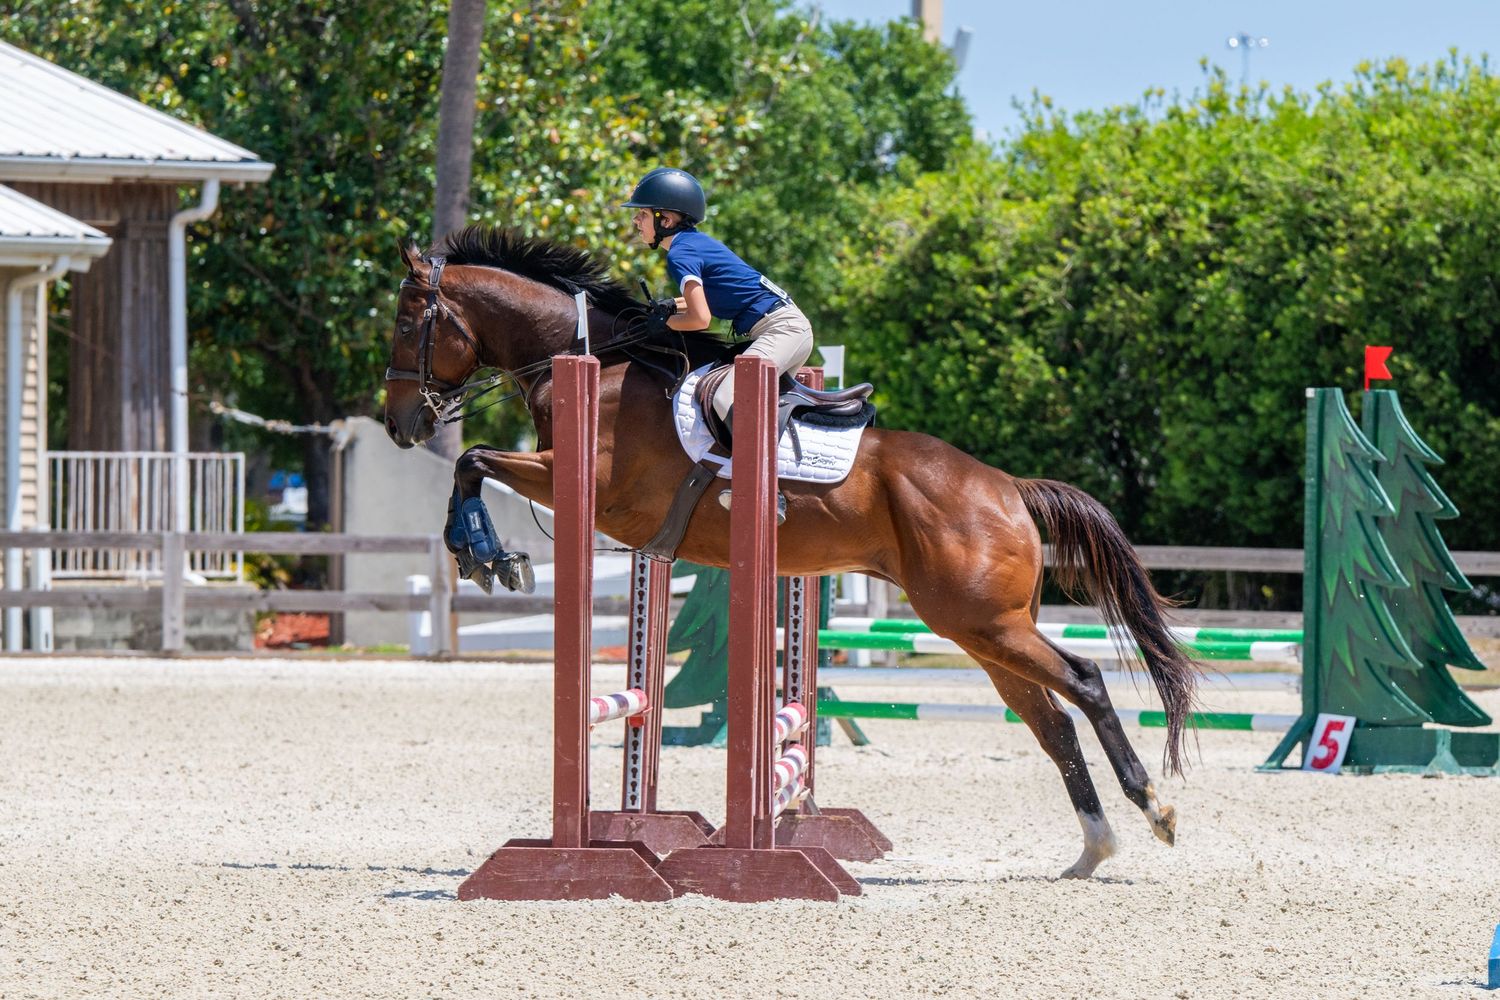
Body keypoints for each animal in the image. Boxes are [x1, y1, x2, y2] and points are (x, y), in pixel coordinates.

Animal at [383, 225, 1201, 879]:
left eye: (405, 321)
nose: (398, 425)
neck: (592, 364)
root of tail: (1006, 488)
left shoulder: (584, 485)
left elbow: (474, 460)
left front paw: (484, 552)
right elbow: (472, 464)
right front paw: (486, 553)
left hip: (984, 622)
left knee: (1085, 683)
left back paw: (1154, 810)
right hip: (981, 630)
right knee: (1051, 720)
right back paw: (1093, 848)